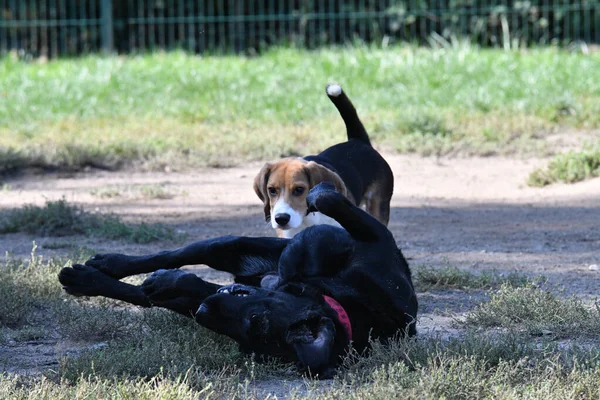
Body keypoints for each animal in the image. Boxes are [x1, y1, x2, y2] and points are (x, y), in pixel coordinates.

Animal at [59, 183, 418, 376]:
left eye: (251, 328)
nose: (206, 311)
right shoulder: (373, 238)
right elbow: (325, 208)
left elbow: (185, 286)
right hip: (231, 248)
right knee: (177, 255)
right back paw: (106, 264)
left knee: (153, 291)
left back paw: (91, 280)